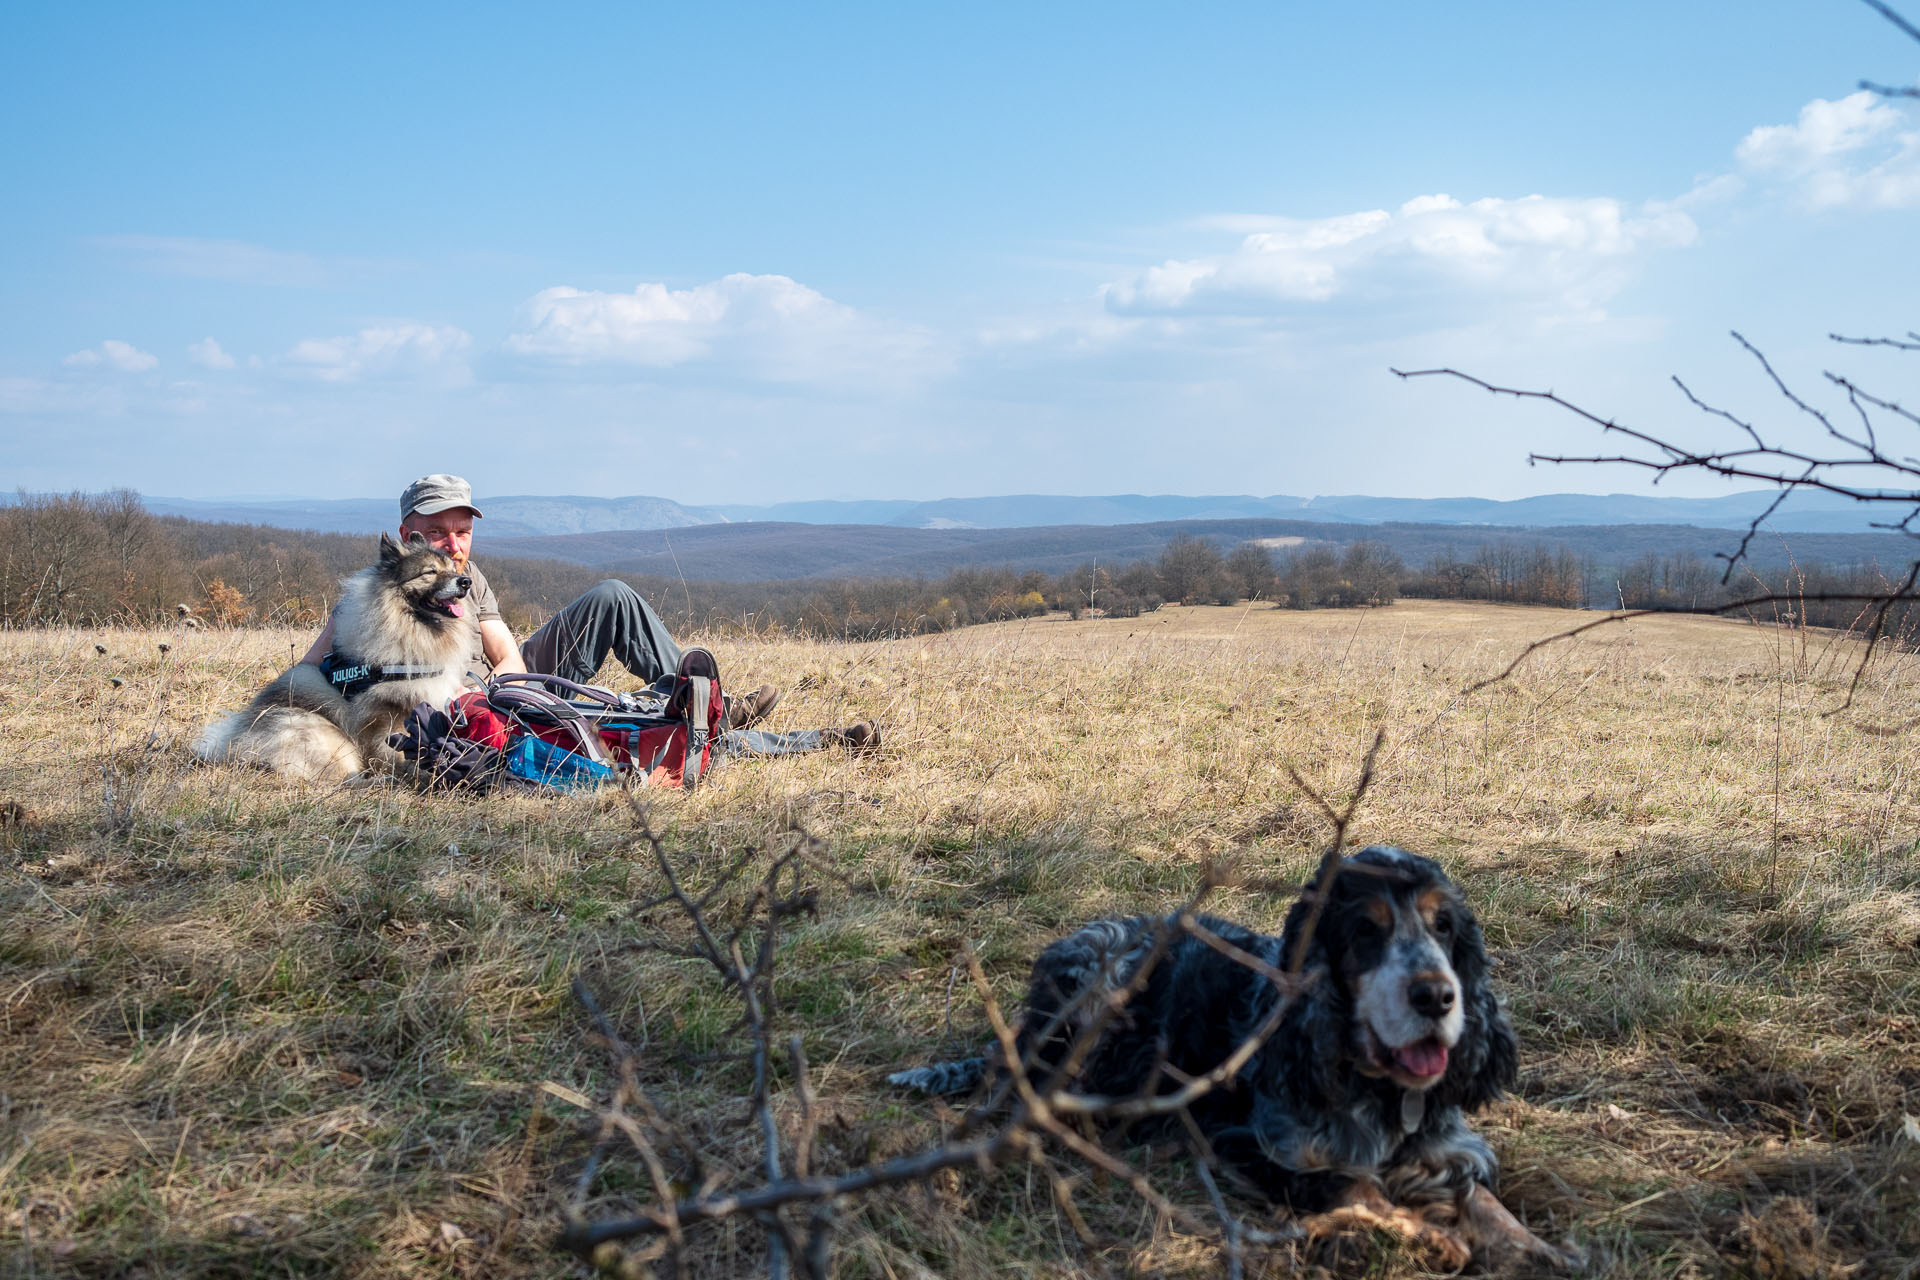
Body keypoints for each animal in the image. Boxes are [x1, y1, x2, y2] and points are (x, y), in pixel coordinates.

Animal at [193, 529, 476, 782]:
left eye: (453, 569)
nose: (465, 582)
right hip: (327, 739)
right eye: (430, 572)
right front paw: (421, 773)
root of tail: (233, 743)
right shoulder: (385, 721)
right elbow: (396, 752)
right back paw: (382, 781)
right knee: (342, 780)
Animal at [883, 852, 1574, 1274]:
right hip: (1097, 993)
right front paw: (1435, 1236)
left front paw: (1538, 1249)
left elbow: (1485, 1199)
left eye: (1445, 926)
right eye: (1366, 931)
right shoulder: (1251, 1143)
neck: (1377, 1090)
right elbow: (1355, 1186)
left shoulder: (1446, 1148)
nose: (1435, 996)